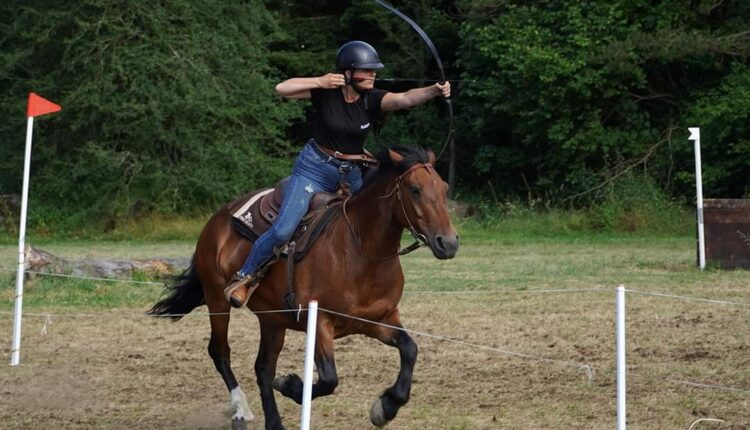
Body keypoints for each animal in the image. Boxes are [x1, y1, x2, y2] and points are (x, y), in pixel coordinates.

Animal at [148, 146, 458, 428]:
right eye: (415, 189)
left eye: (444, 188)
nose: (448, 243)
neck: (360, 251)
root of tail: (218, 218)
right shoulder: (318, 320)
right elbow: (329, 378)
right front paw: (290, 384)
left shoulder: (378, 320)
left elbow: (410, 349)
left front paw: (385, 407)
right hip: (217, 299)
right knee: (220, 351)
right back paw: (241, 408)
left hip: (272, 319)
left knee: (263, 368)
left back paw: (274, 423)